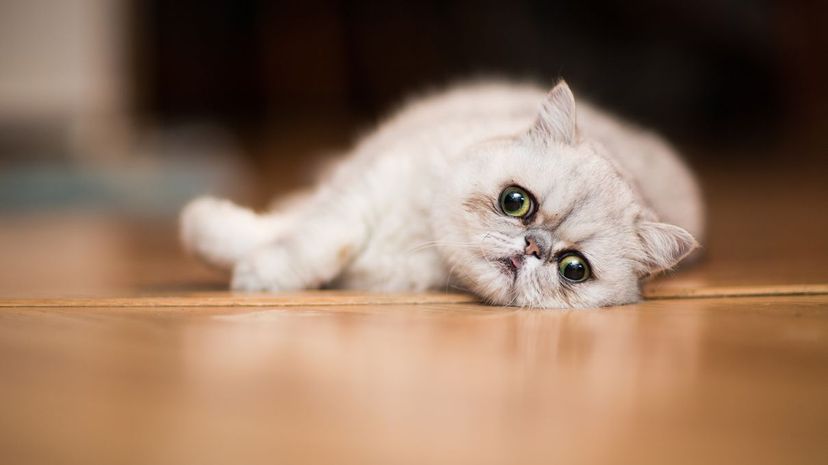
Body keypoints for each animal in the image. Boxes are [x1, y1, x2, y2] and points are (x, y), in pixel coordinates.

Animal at [178, 79, 700, 308]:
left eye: (574, 269)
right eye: (515, 202)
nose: (533, 247)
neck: (421, 236)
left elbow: (306, 242)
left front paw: (256, 272)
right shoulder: (361, 193)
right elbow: (313, 239)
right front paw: (212, 235)